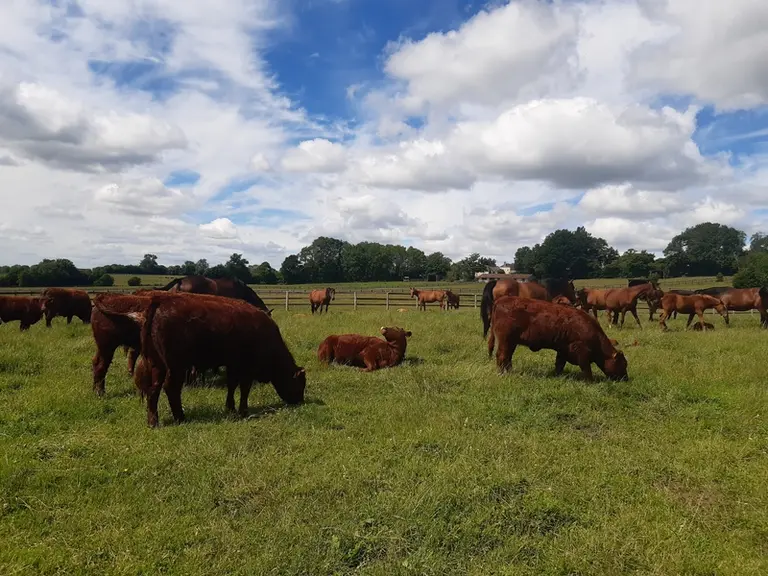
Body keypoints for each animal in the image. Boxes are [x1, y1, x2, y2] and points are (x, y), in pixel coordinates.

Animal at [92, 292, 306, 427]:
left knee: (153, 390)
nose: (300, 401)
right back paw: (180, 417)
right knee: (170, 388)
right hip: (173, 366)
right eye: (300, 384)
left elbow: (232, 386)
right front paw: (243, 410)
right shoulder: (246, 368)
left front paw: (230, 407)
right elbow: (244, 389)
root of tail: (157, 302)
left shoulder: (233, 366)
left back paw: (153, 421)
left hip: (157, 364)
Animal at [487, 296, 628, 381]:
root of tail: (501, 300)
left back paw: (510, 371)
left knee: (508, 357)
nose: (626, 379)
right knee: (501, 356)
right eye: (623, 364)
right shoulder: (581, 351)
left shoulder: (563, 350)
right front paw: (590, 381)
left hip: (511, 342)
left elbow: (559, 364)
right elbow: (586, 368)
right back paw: (502, 374)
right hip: (506, 341)